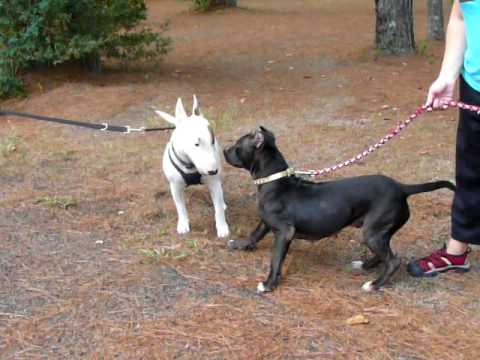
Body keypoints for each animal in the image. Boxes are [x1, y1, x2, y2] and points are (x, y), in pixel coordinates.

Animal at [223, 127, 456, 292]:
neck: (274, 181)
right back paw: (364, 265)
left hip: (373, 231)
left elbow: (275, 260)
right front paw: (240, 245)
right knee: (386, 253)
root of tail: (401, 188)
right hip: (378, 231)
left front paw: (268, 284)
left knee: (393, 260)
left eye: (236, 146)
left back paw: (374, 284)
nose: (224, 150)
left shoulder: (284, 232)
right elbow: (254, 234)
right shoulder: (265, 221)